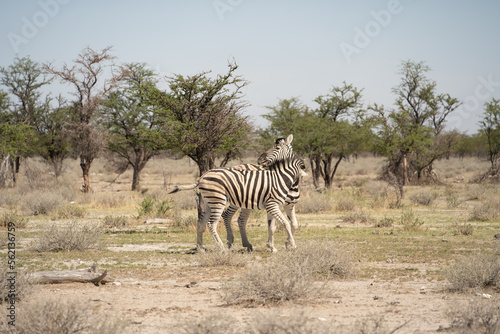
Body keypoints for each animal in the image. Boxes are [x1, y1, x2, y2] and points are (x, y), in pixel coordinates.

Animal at [168, 134, 302, 250]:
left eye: (277, 148)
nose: (260, 160)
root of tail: (202, 176)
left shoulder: (289, 205)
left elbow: (292, 224)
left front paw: (285, 243)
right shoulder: (272, 204)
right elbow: (277, 225)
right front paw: (281, 244)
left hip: (216, 202)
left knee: (205, 222)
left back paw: (202, 248)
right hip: (227, 200)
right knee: (222, 219)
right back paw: (226, 244)